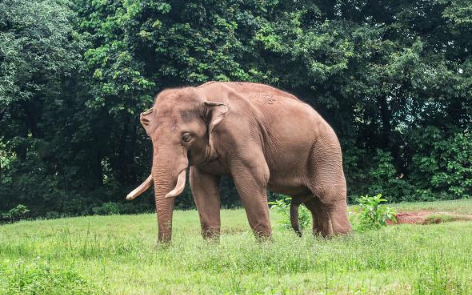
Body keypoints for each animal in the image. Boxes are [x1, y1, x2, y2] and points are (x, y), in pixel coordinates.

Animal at [125, 81, 350, 243]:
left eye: (186, 137)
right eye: (151, 138)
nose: (162, 248)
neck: (203, 95)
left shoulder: (242, 133)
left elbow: (253, 177)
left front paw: (266, 248)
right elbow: (201, 185)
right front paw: (211, 249)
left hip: (325, 150)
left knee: (330, 194)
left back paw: (342, 243)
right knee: (315, 203)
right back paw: (323, 243)